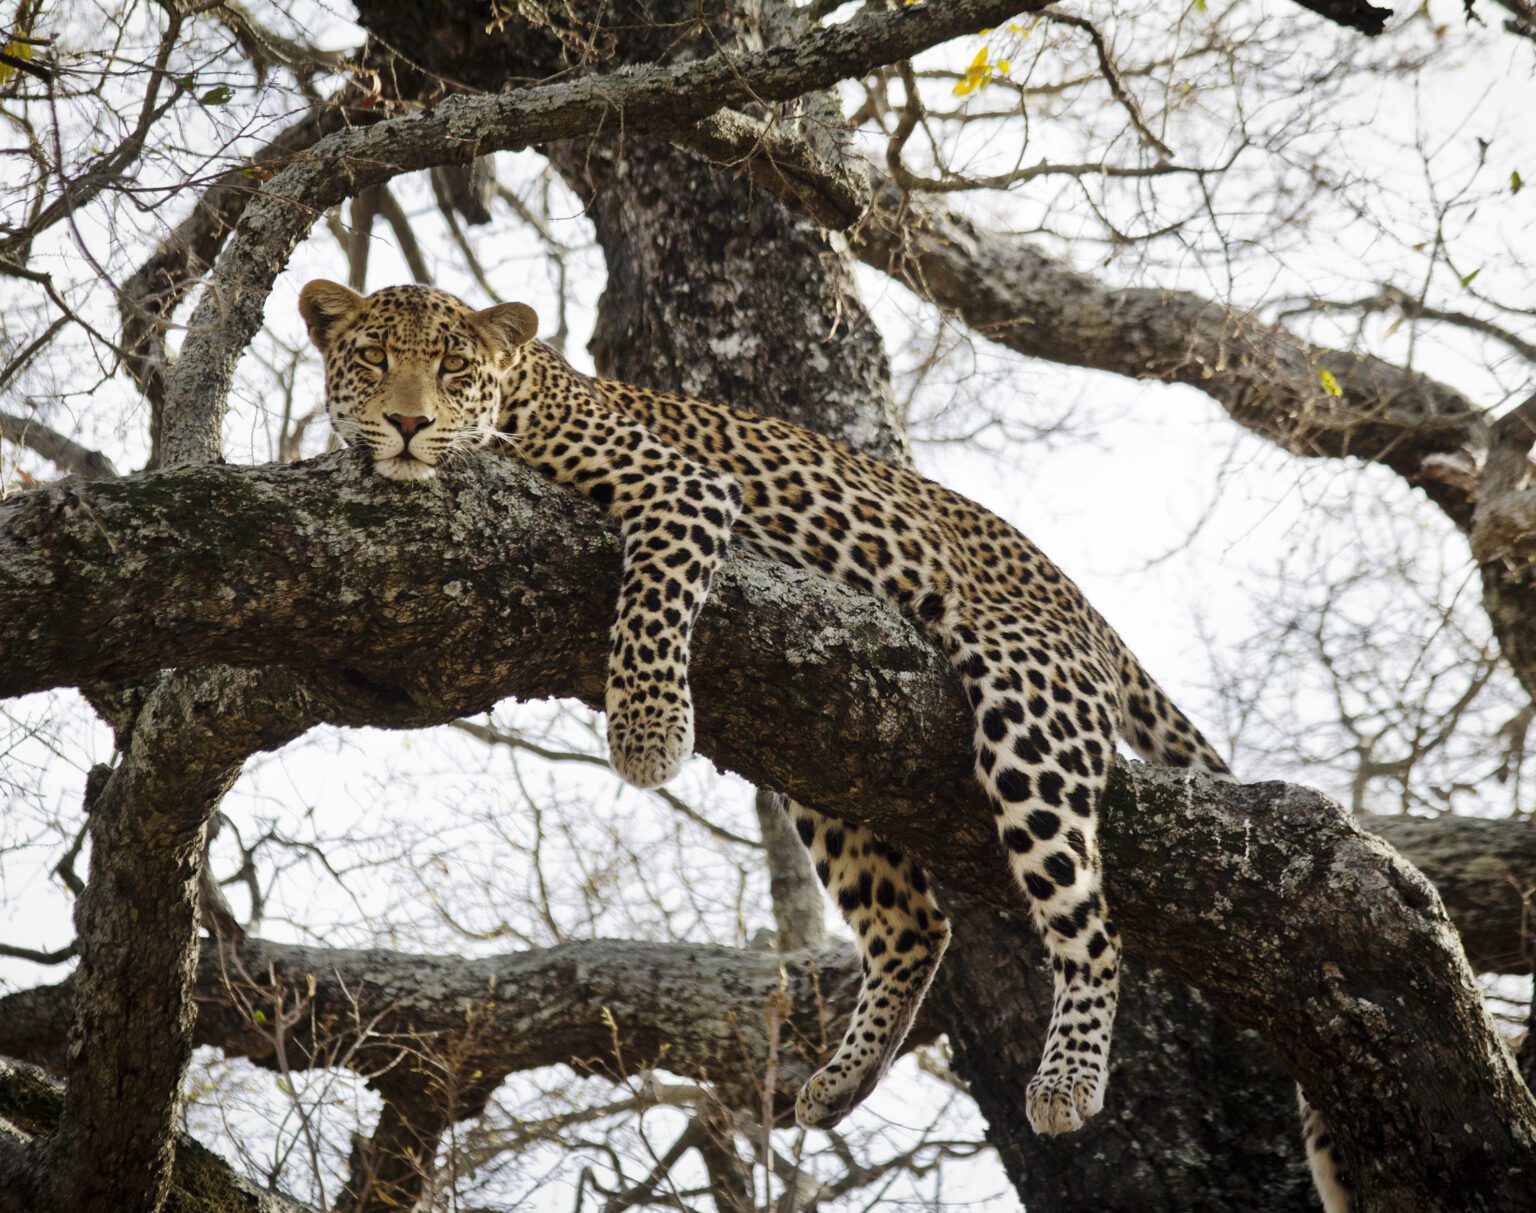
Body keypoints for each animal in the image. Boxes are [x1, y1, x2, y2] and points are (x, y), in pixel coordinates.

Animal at [298, 280, 1351, 1212]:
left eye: (452, 366)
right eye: (373, 358)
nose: (405, 423)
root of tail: (1076, 596)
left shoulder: (684, 489)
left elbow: (652, 598)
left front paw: (647, 729)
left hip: (1028, 708)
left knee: (1090, 925)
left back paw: (1067, 1081)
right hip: (831, 763)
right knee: (916, 923)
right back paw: (843, 1078)